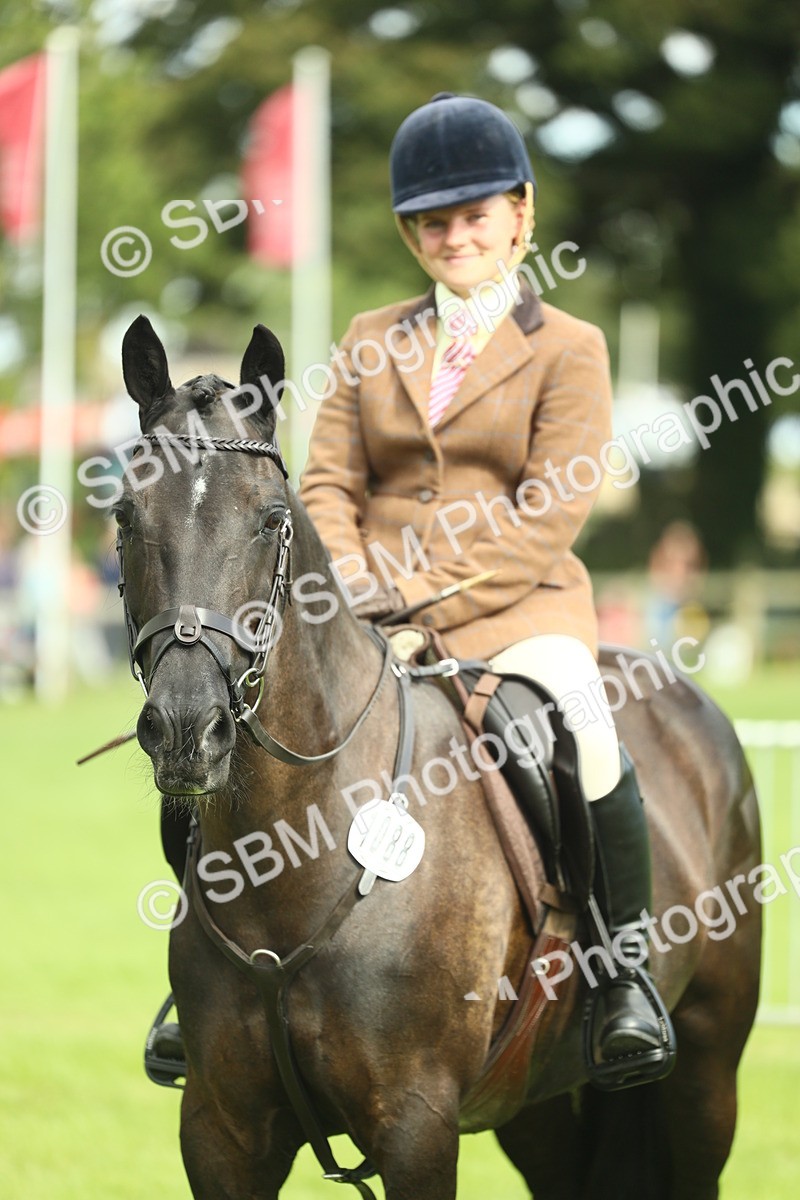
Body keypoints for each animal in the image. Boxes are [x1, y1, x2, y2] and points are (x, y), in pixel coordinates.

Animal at [118, 314, 762, 1200]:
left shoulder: (416, 1125)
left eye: (273, 518)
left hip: (705, 1077)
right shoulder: (220, 1132)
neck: (293, 848)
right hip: (539, 1108)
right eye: (123, 514)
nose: (187, 726)